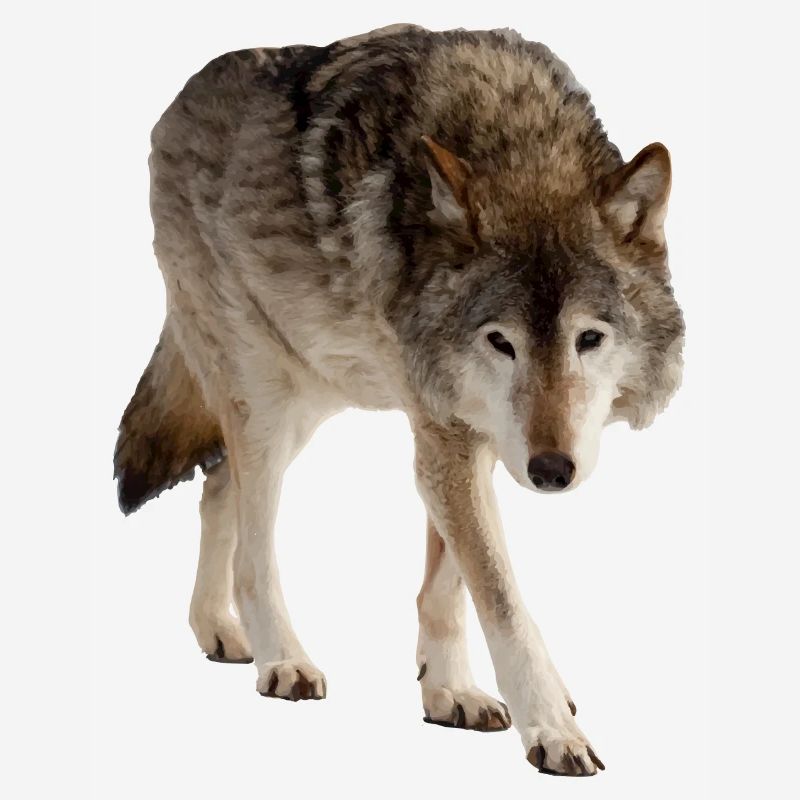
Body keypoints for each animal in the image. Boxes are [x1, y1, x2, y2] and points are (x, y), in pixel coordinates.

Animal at [113, 24, 684, 777]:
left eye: (589, 338)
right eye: (501, 343)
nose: (550, 471)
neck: (516, 140)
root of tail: (176, 101)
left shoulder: (463, 435)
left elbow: (449, 586)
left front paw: (449, 692)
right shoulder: (446, 434)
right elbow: (501, 598)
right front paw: (552, 728)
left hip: (309, 395)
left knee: (215, 486)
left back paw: (219, 631)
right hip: (264, 398)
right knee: (252, 543)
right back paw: (281, 659)